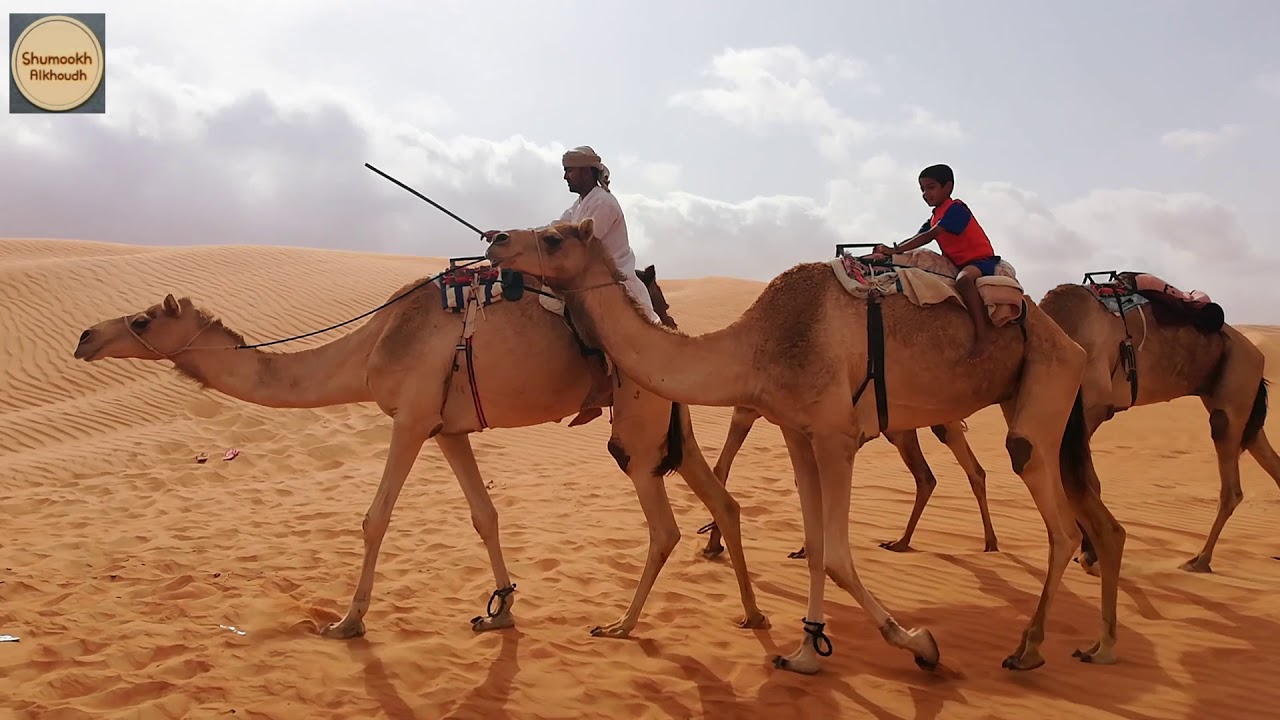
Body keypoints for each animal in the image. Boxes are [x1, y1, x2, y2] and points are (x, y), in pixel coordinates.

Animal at [72, 266, 768, 640]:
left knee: (663, 523)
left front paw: (346, 622)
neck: (371, 345)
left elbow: (374, 518)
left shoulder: (408, 418)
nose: (84, 337)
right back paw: (755, 617)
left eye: (142, 321)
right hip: (673, 417)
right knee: (724, 501)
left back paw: (621, 626)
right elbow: (484, 514)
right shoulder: (446, 429)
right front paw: (500, 612)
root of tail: (669, 326)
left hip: (639, 422)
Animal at [486, 220, 1131, 671]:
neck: (757, 346)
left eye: (553, 235)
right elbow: (816, 545)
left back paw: (1029, 648)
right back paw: (1100, 645)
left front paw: (917, 642)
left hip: (1045, 387)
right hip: (1044, 400)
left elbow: (839, 553)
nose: (495, 240)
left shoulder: (835, 435)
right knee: (1101, 522)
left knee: (1059, 521)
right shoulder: (797, 432)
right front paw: (805, 650)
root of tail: (1062, 334)